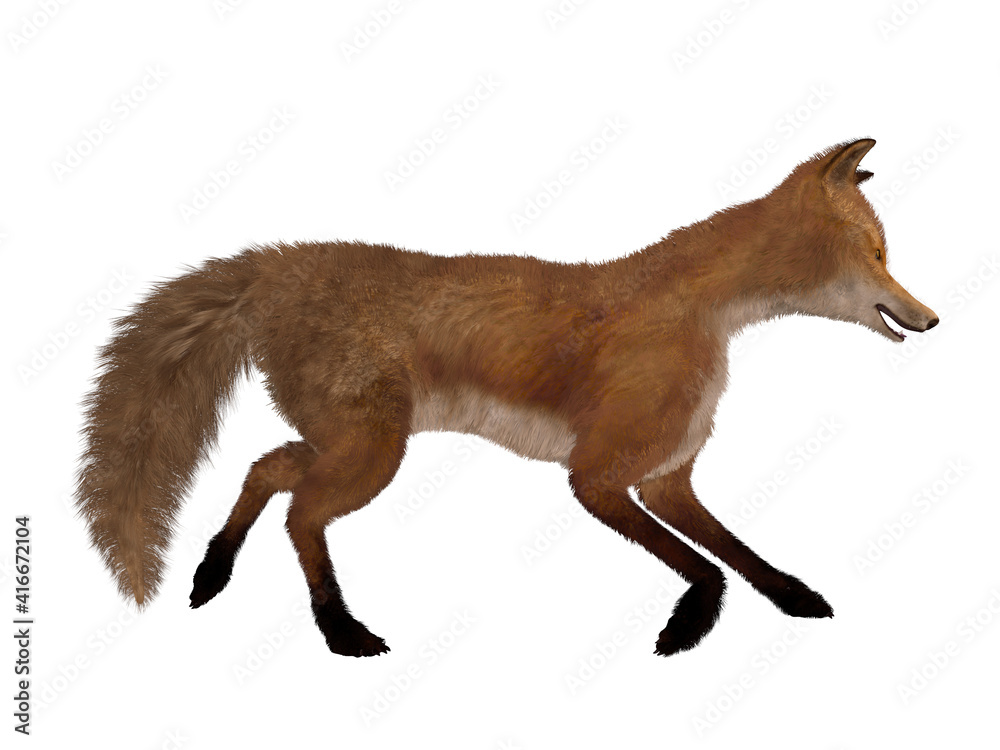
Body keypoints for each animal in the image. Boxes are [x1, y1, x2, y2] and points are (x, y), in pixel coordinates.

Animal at [75, 138, 938, 658]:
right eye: (877, 254)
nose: (929, 318)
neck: (699, 314)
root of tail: (279, 262)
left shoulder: (667, 477)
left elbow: (738, 553)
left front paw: (794, 598)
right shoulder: (596, 476)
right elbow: (708, 571)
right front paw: (685, 629)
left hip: (348, 443)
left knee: (266, 468)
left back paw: (213, 571)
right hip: (371, 456)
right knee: (299, 512)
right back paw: (339, 629)